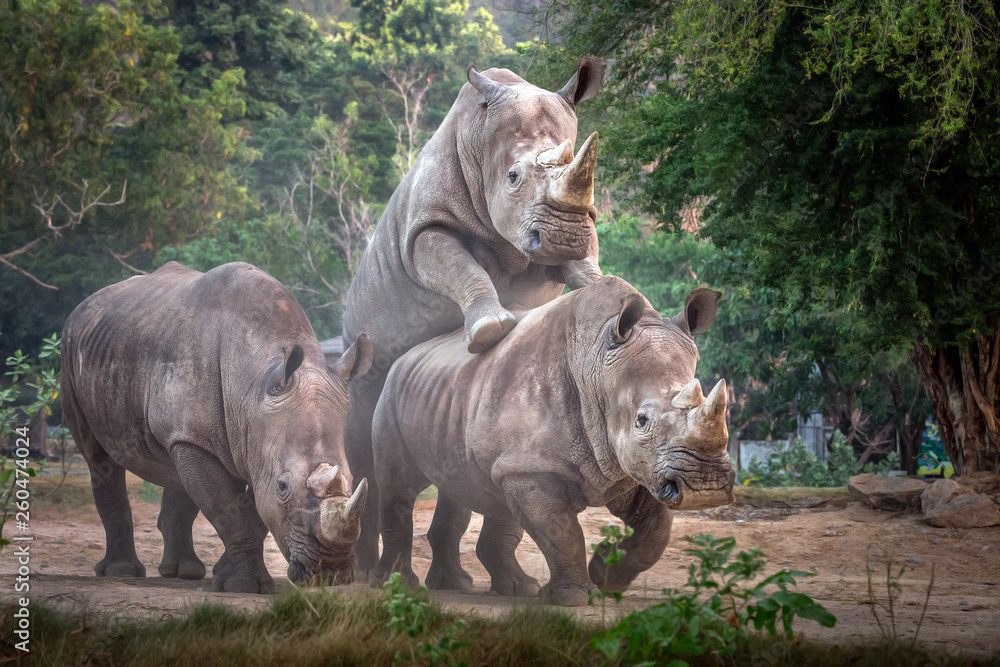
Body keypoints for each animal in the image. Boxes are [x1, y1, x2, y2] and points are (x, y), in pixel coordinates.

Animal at [60, 262, 373, 593]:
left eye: (353, 479)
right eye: (283, 486)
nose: (331, 572)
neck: (253, 383)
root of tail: (83, 306)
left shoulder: (253, 440)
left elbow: (249, 512)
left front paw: (225, 575)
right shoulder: (228, 439)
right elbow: (229, 509)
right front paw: (243, 586)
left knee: (175, 464)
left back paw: (185, 572)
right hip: (72, 352)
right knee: (98, 458)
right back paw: (122, 571)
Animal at [342, 57, 608, 573]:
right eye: (512, 177)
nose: (562, 237)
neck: (480, 139)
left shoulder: (574, 227)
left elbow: (586, 263)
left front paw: (610, 291)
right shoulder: (426, 227)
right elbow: (458, 263)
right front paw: (490, 330)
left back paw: (465, 581)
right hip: (358, 340)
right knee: (365, 427)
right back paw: (364, 573)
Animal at [371, 276, 736, 605]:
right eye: (642, 421)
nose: (706, 488)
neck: (596, 368)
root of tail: (406, 357)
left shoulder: (639, 466)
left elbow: (655, 533)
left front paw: (606, 577)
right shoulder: (534, 468)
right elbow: (562, 533)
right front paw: (574, 598)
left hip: (455, 397)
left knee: (478, 488)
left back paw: (501, 588)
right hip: (391, 394)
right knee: (398, 486)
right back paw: (396, 585)